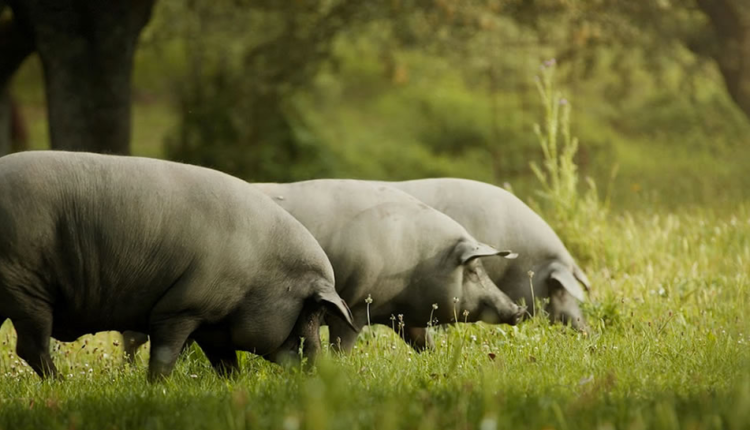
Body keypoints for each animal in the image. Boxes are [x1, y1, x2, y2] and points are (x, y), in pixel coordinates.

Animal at [0, 151, 353, 381]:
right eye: (311, 312)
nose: (321, 372)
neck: (260, 271)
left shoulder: (214, 322)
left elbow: (225, 360)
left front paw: (233, 386)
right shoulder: (181, 308)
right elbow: (165, 354)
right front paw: (157, 388)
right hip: (24, 286)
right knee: (32, 346)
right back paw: (61, 384)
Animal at [253, 180, 526, 352]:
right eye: (473, 270)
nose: (518, 310)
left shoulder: (402, 317)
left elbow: (424, 342)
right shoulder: (354, 307)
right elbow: (341, 347)